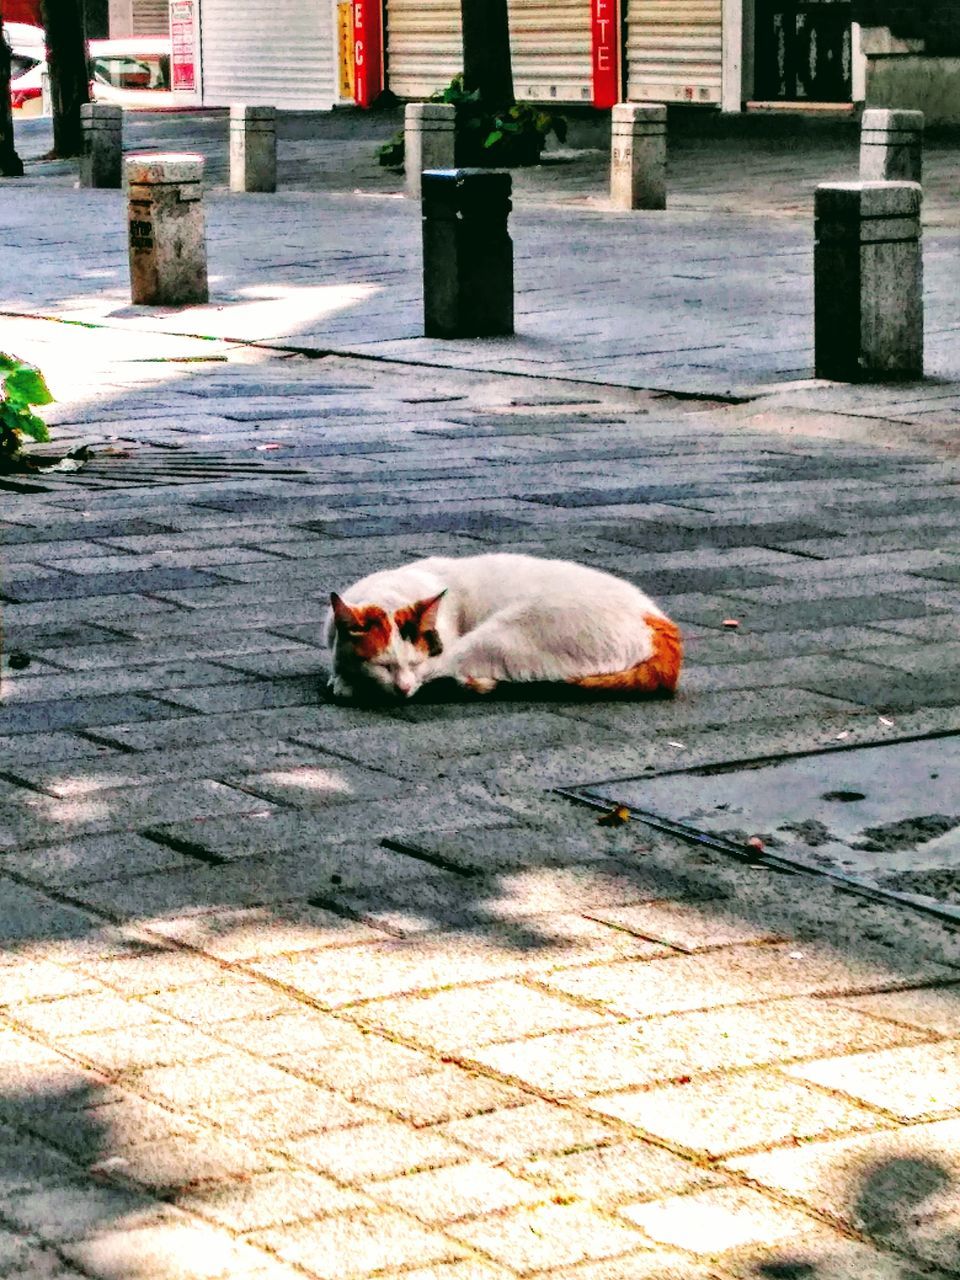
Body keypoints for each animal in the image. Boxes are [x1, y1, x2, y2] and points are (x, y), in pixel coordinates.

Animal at [325, 550, 686, 706]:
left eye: (416, 663)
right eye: (384, 665)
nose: (403, 689)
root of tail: (660, 625)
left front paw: (345, 682)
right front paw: (341, 675)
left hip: (507, 630)